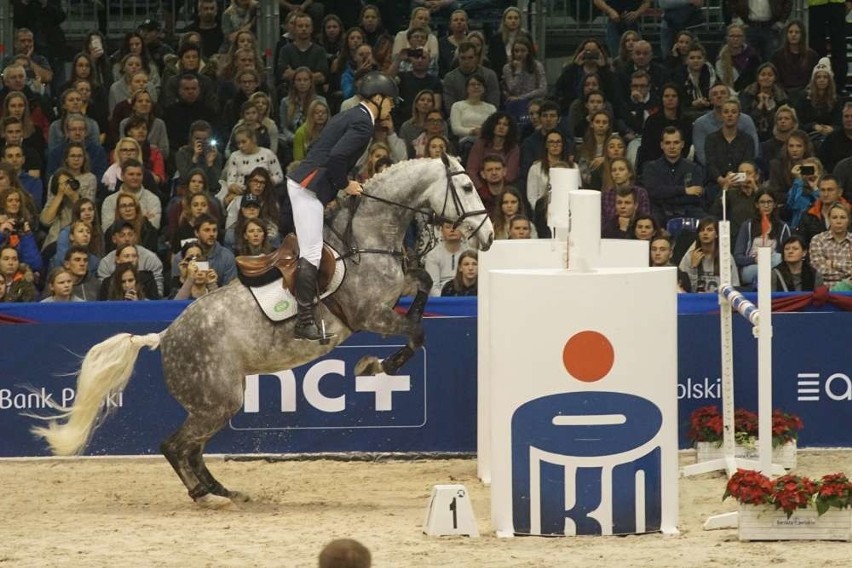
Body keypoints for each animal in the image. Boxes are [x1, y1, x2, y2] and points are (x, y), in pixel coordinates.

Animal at [33, 153, 496, 508]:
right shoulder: (371, 314)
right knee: (176, 447)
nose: (490, 236)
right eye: (467, 187)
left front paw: (384, 352)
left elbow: (422, 287)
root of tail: (164, 337)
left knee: (191, 449)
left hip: (218, 401)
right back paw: (207, 495)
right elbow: (415, 334)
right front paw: (375, 366)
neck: (367, 236)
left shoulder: (399, 290)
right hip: (219, 401)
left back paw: (225, 491)